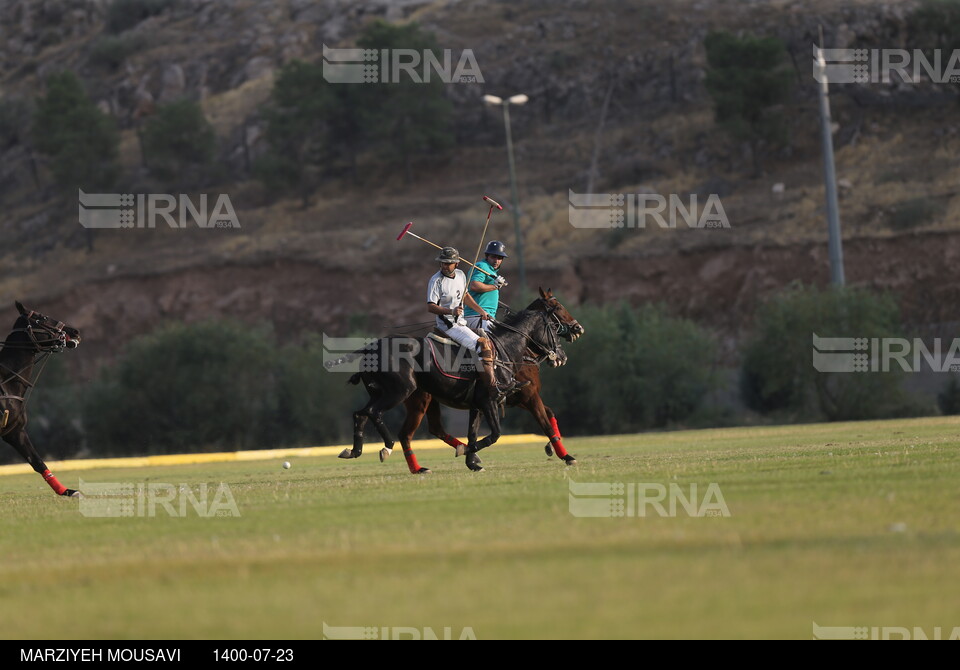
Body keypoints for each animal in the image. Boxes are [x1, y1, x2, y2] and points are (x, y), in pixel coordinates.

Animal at [0, 302, 81, 496]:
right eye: (42, 317)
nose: (74, 332)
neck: (7, 382)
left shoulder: (15, 431)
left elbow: (37, 462)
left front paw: (67, 491)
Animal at [344, 288, 576, 472]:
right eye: (557, 311)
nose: (562, 355)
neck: (507, 349)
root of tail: (370, 348)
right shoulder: (499, 399)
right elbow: (499, 433)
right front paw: (567, 456)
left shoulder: (483, 403)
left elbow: (474, 433)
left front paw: (471, 460)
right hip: (404, 392)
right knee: (384, 420)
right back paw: (388, 448)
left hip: (390, 393)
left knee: (363, 414)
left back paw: (358, 452)